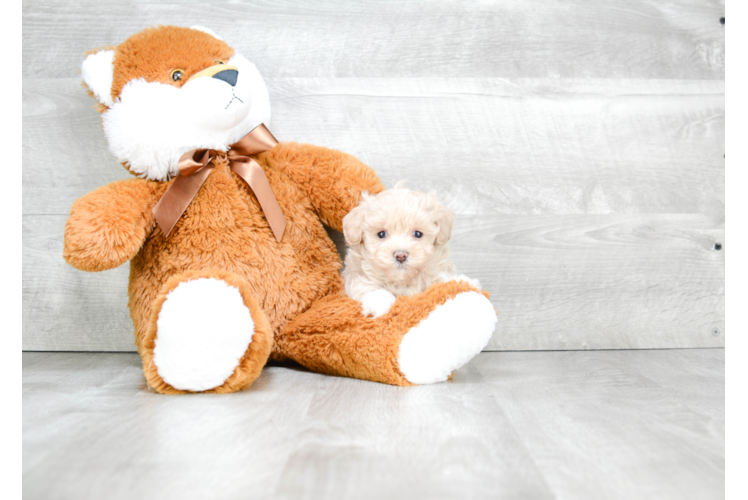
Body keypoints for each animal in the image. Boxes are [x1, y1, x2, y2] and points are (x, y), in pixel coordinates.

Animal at [344, 183, 480, 316]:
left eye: (418, 234)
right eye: (381, 234)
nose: (401, 255)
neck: (403, 280)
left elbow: (443, 281)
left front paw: (464, 282)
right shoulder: (358, 279)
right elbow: (370, 288)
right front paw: (380, 304)